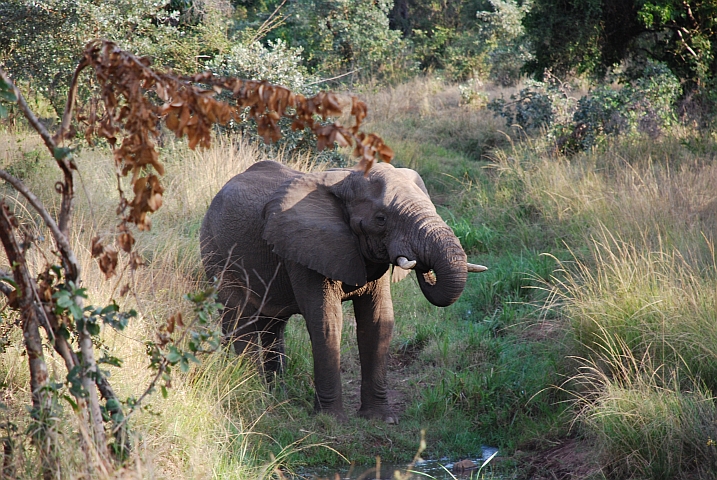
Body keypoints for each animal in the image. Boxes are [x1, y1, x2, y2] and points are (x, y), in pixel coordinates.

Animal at [200, 160, 486, 423]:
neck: (345, 180)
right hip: (217, 251)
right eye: (381, 219)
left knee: (273, 325)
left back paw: (277, 396)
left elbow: (378, 321)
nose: (423, 265)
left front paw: (379, 419)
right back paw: (254, 392)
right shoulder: (306, 248)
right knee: (241, 320)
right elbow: (327, 320)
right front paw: (331, 421)